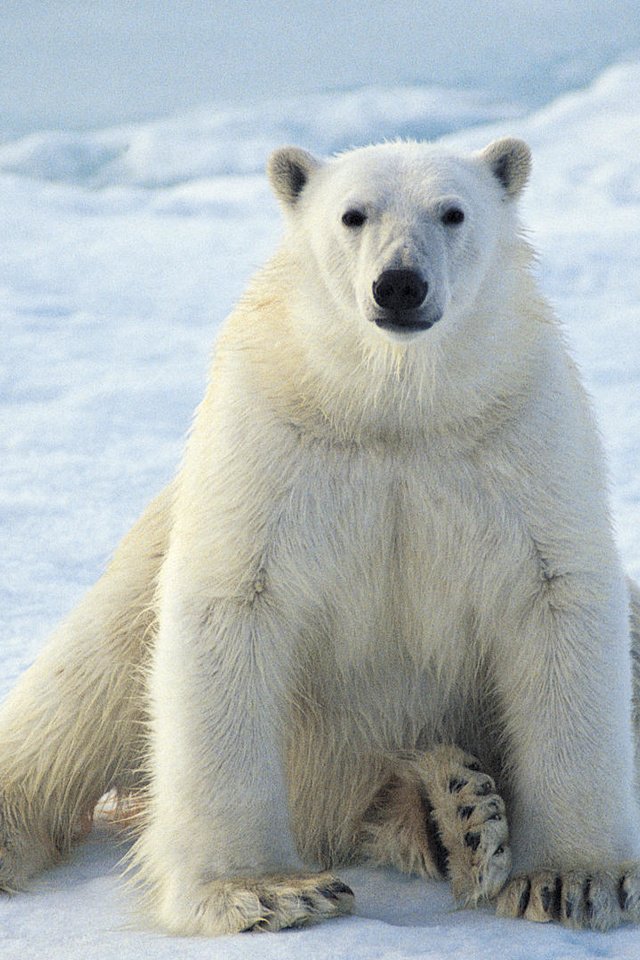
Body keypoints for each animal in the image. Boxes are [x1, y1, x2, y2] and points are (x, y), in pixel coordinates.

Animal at [1, 135, 640, 928]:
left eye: (453, 212)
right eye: (352, 214)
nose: (399, 285)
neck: (395, 408)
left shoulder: (518, 435)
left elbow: (557, 598)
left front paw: (570, 881)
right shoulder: (274, 438)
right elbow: (232, 605)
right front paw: (268, 890)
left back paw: (457, 810)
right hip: (141, 571)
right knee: (75, 698)